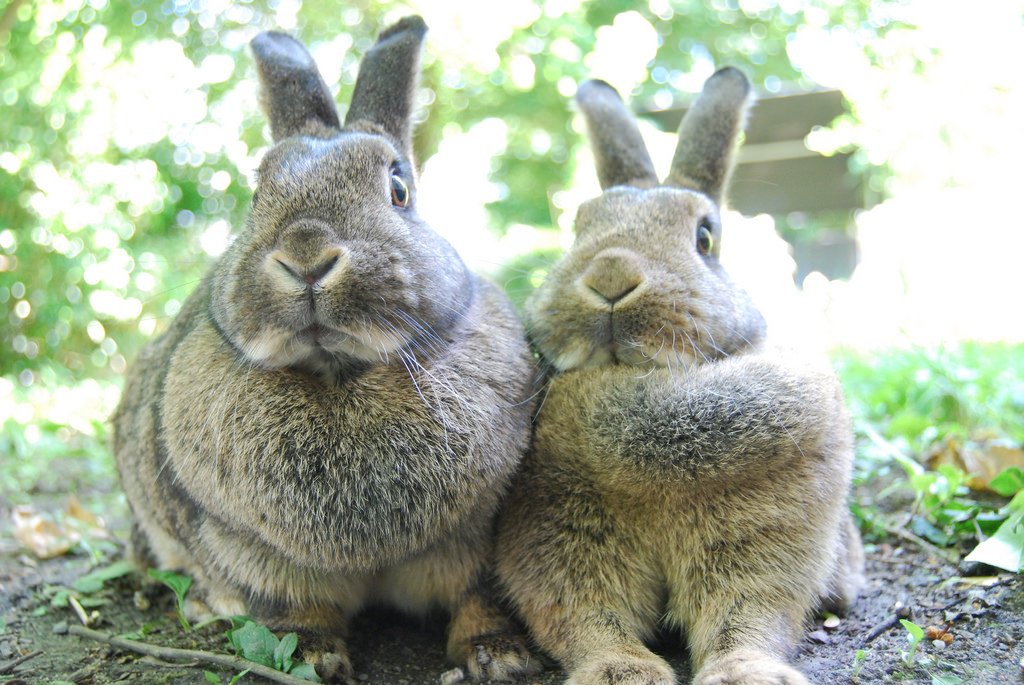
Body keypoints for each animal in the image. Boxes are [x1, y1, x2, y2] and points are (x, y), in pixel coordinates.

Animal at [113, 16, 541, 683]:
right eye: (256, 193)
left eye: (398, 188)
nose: (306, 255)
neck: (340, 374)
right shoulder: (252, 556)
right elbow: (294, 609)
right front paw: (312, 656)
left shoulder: (483, 540)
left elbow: (479, 597)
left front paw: (500, 656)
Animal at [494, 68, 865, 685]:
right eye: (578, 228)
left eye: (705, 238)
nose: (610, 273)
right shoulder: (556, 536)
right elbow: (584, 617)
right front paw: (620, 672)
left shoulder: (766, 537)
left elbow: (748, 613)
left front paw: (747, 674)